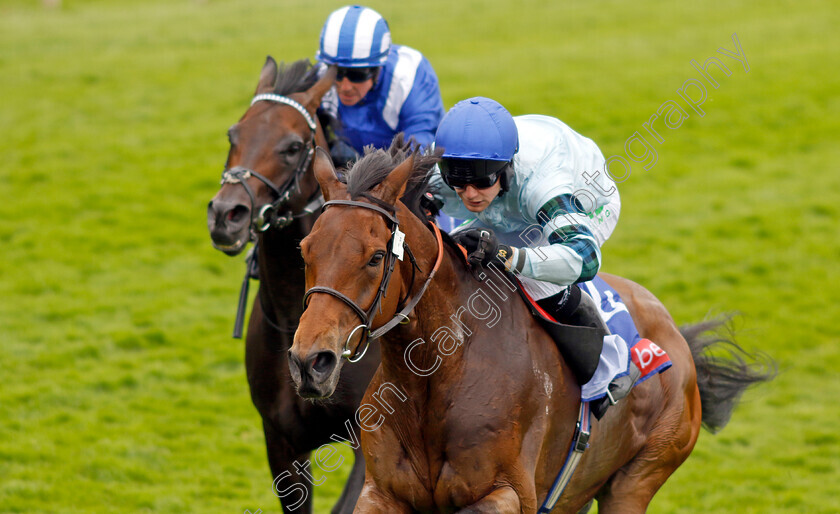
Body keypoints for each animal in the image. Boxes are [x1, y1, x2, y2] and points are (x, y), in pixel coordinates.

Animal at [290, 138, 776, 510]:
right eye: (304, 248)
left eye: (375, 256)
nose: (311, 361)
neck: (436, 376)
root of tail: (675, 336)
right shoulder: (383, 494)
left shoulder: (508, 494)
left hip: (638, 477)